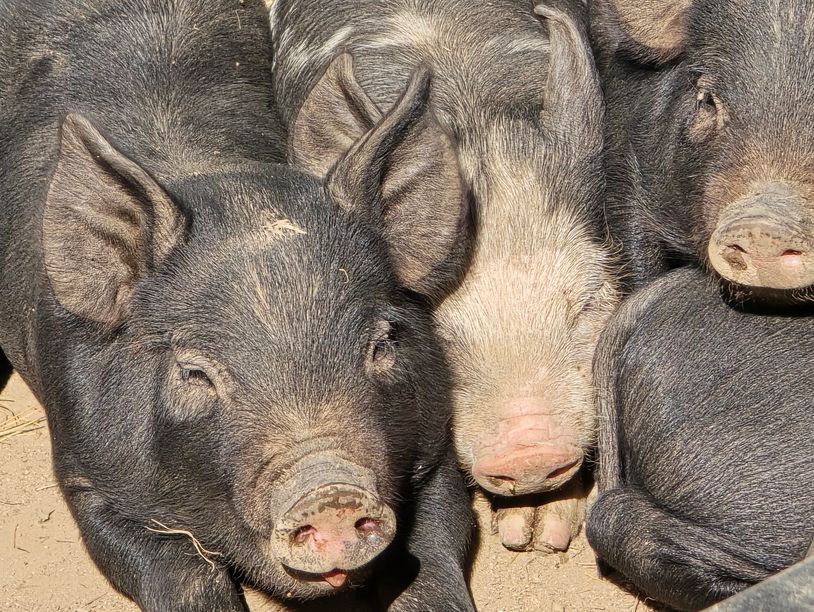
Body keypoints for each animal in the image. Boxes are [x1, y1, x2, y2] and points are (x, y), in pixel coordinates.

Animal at [0, 0, 474, 609]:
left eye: (382, 344)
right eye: (195, 372)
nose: (330, 493)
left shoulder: (435, 441)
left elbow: (436, 553)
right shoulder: (88, 475)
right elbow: (183, 576)